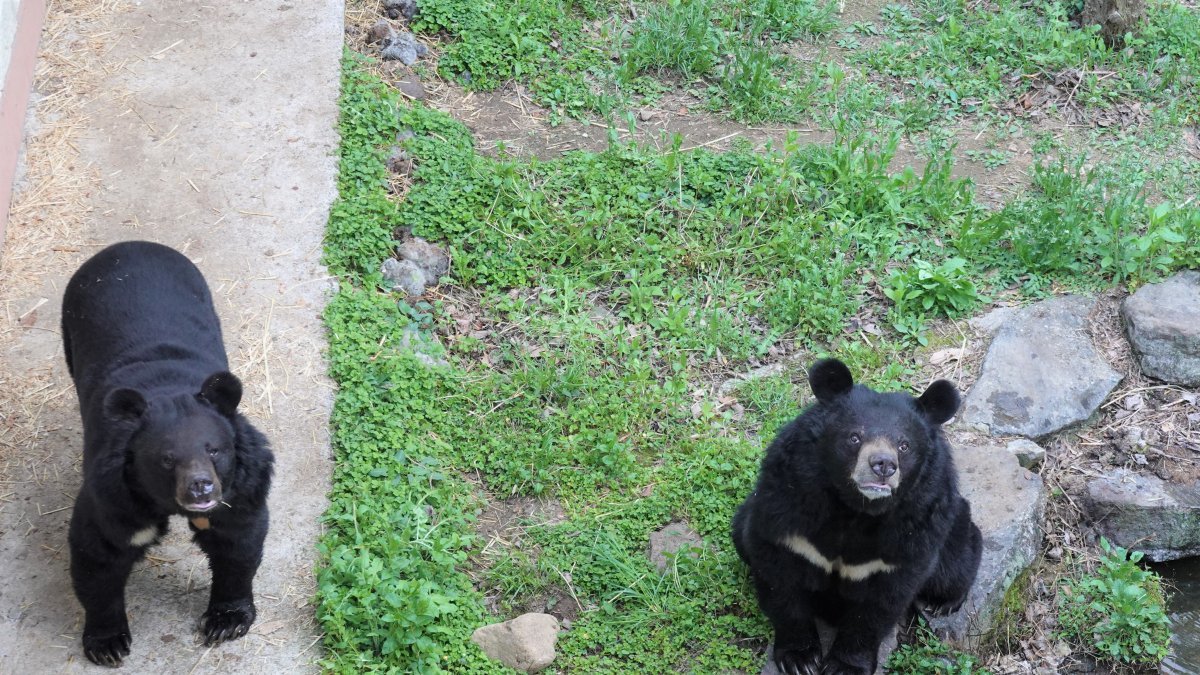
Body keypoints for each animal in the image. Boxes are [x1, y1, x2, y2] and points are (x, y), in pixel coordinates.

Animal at [63, 240, 276, 662]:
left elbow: (237, 542)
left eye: (215, 450)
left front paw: (226, 622)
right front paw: (108, 644)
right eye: (166, 459)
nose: (201, 488)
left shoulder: (241, 484)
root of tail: (130, 244)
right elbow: (99, 551)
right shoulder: (113, 492)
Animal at [729, 355, 984, 667]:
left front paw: (844, 665)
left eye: (904, 445)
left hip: (949, 525)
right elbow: (780, 580)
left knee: (955, 563)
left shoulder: (911, 532)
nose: (883, 465)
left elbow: (877, 608)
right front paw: (800, 659)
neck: (855, 509)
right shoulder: (789, 505)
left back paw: (943, 604)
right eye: (854, 437)